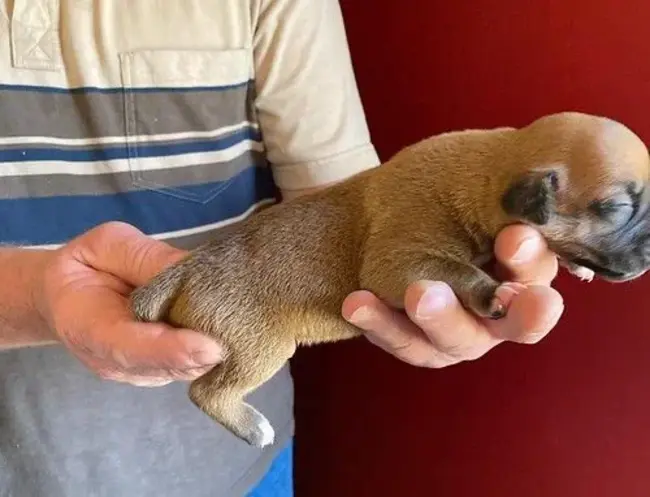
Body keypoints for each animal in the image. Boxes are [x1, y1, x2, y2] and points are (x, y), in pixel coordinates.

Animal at [129, 111, 648, 446]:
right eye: (616, 208)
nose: (647, 255)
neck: (488, 168)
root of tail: (186, 268)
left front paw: (575, 264)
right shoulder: (397, 261)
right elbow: (453, 269)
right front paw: (490, 291)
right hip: (257, 345)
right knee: (207, 392)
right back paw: (253, 427)